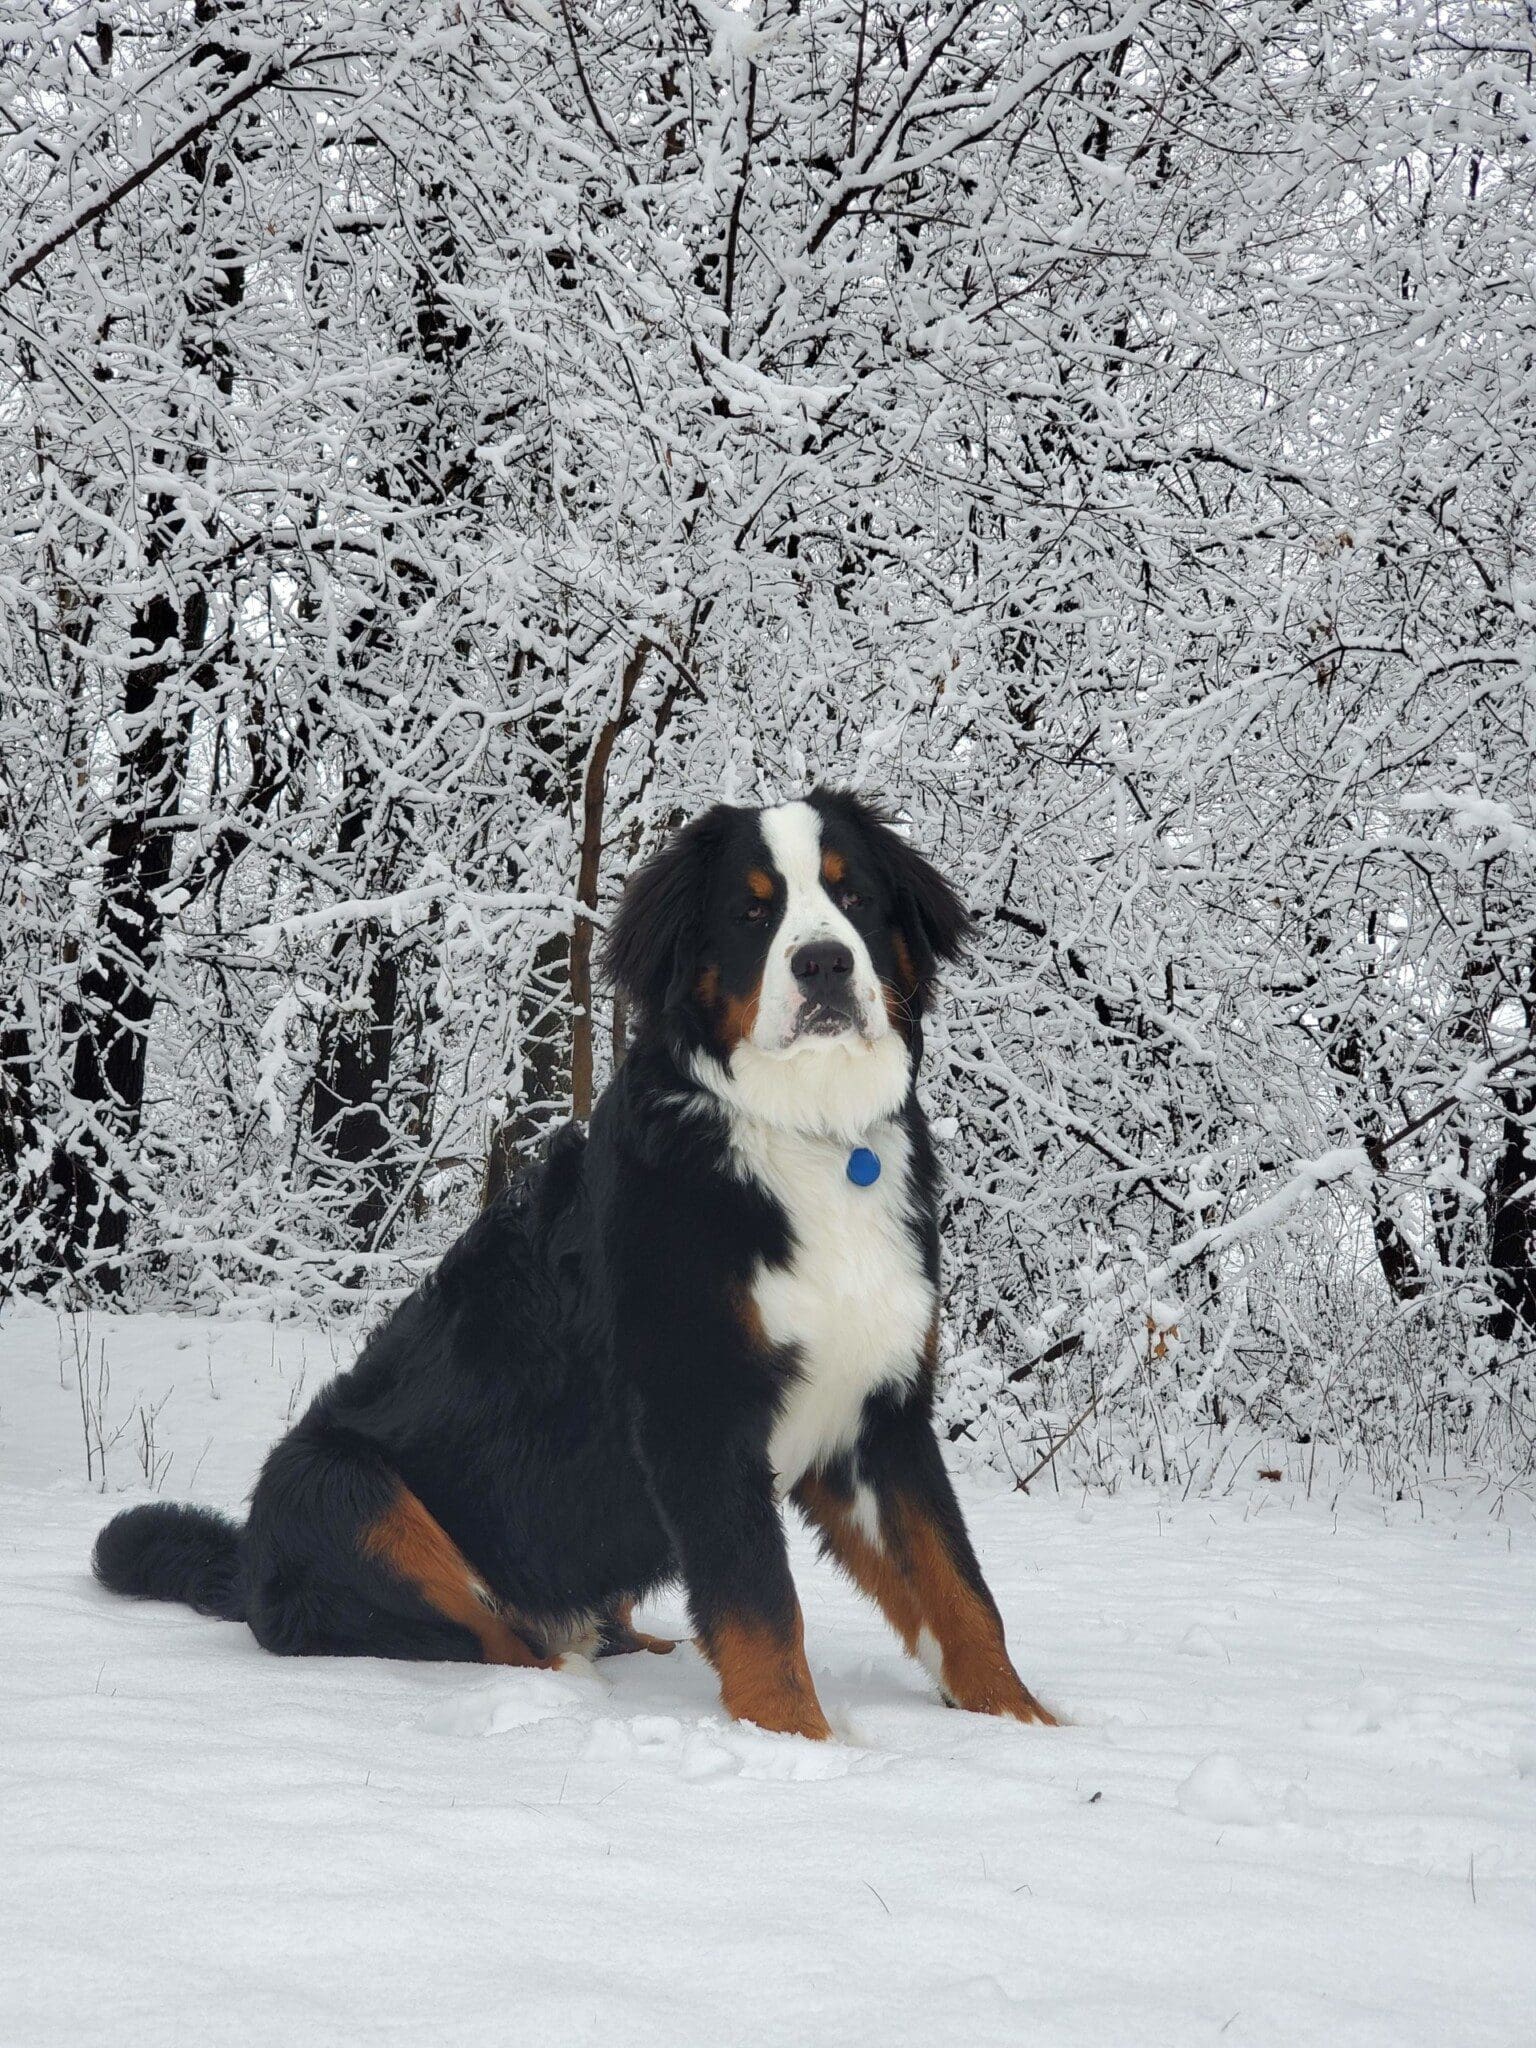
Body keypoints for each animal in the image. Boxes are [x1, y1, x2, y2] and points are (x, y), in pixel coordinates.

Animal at [93, 790, 1056, 1736]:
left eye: (853, 894)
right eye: (753, 912)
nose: (823, 964)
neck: (811, 1137)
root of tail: (248, 1570)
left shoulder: (879, 1415)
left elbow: (960, 1591)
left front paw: (1027, 1726)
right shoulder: (698, 1412)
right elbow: (761, 1609)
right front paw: (798, 1744)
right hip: (341, 1484)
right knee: (491, 1635)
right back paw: (565, 1685)